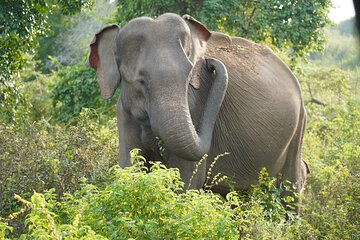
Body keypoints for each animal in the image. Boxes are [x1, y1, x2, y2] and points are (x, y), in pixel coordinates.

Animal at [88, 12, 310, 202]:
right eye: (141, 81)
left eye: (189, 74)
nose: (211, 63)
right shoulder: (123, 113)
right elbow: (128, 168)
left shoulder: (195, 105)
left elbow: (183, 182)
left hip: (299, 126)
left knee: (289, 187)